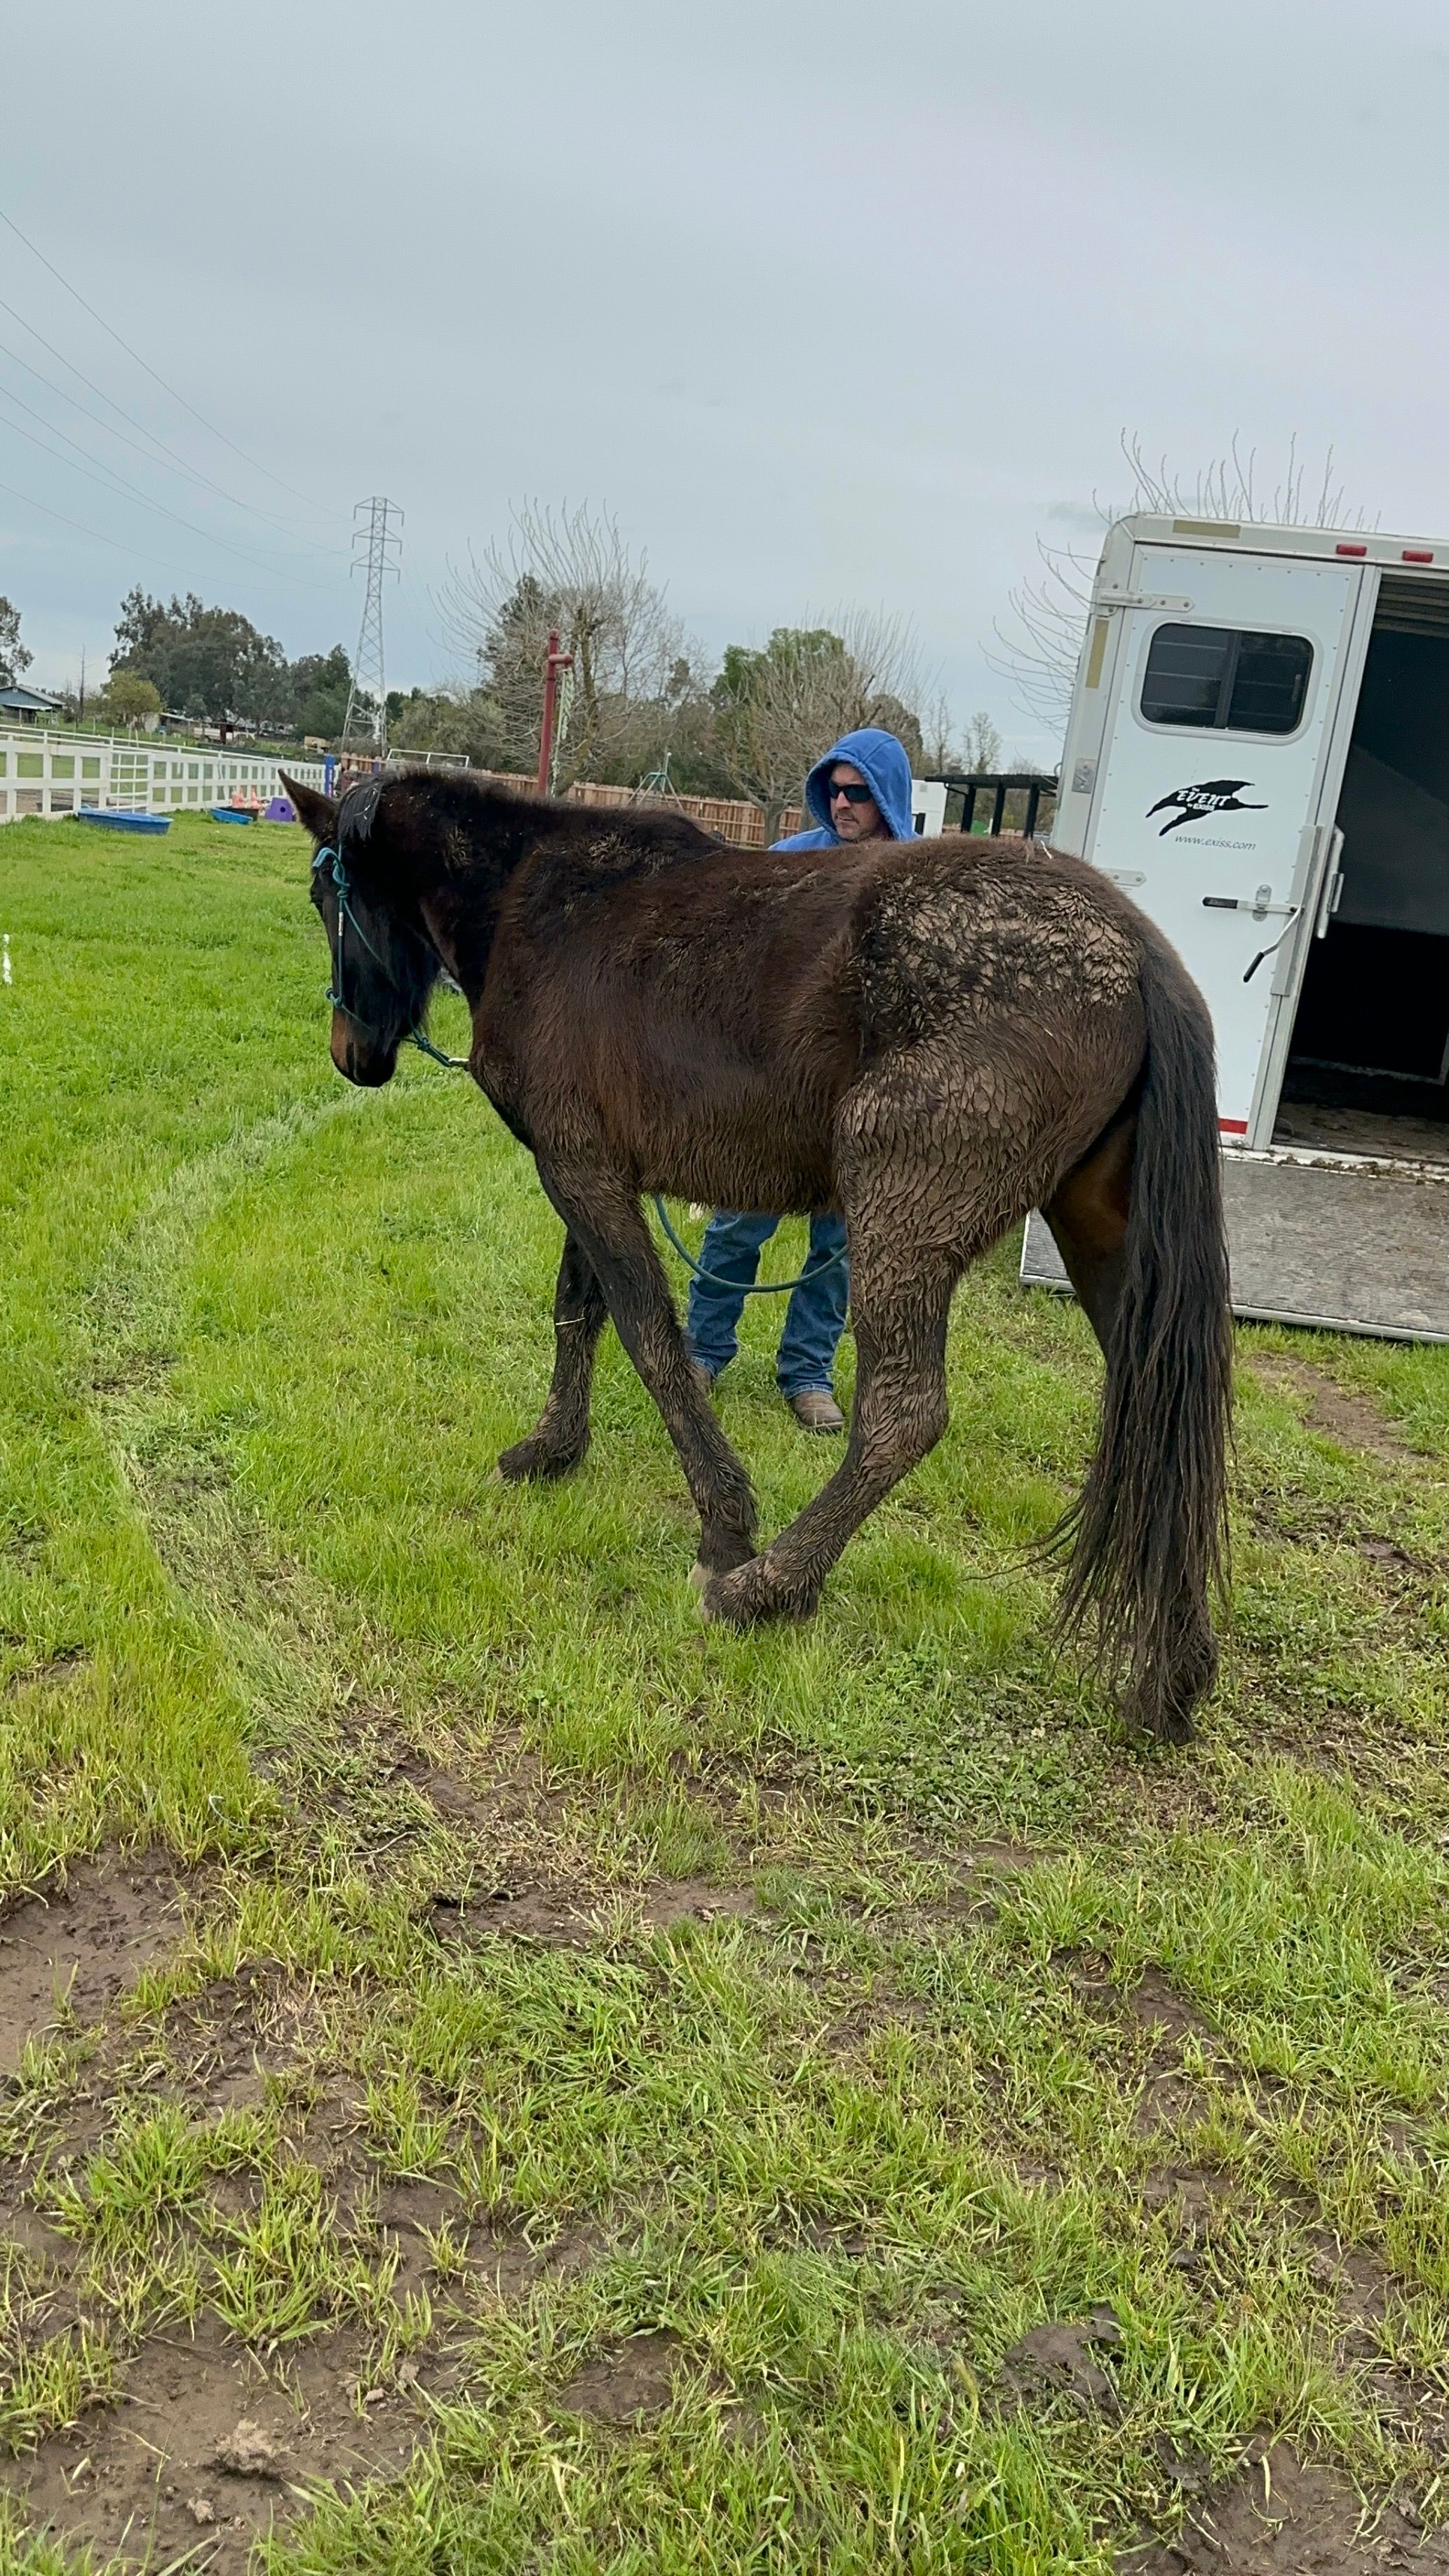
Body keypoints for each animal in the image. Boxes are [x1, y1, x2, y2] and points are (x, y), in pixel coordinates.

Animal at [282, 767, 1232, 1742]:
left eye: (325, 899)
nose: (351, 1056)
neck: (533, 901)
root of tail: (1136, 953)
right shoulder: (588, 1169)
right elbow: (578, 1312)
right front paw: (553, 1448)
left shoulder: (580, 1173)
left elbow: (650, 1343)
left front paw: (723, 1529)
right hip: (1099, 1240)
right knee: (1160, 1409)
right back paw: (1171, 1671)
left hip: (897, 1224)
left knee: (903, 1417)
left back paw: (767, 1586)